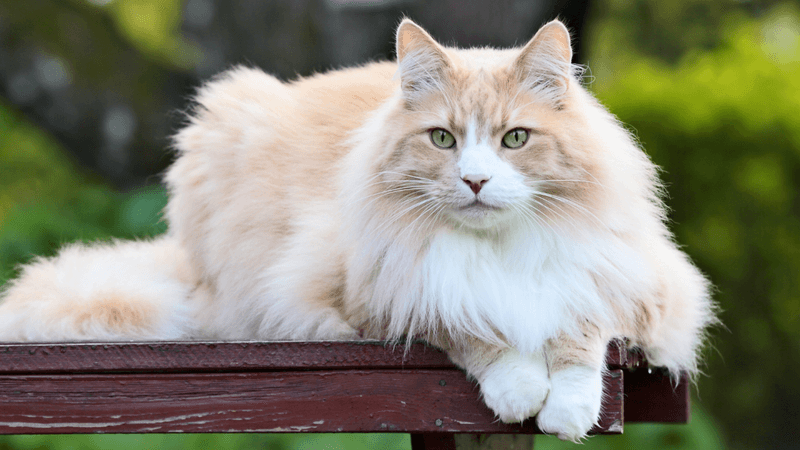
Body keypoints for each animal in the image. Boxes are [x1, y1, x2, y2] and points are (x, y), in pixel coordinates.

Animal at [0, 19, 716, 442]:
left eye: (514, 139)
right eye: (443, 139)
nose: (475, 182)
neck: (497, 249)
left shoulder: (641, 284)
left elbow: (581, 329)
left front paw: (567, 408)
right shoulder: (382, 294)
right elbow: (471, 329)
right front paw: (520, 390)